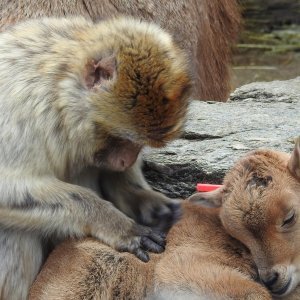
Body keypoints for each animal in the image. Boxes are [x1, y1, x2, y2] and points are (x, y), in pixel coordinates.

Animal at [0, 17, 191, 300]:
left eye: (139, 144)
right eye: (123, 139)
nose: (126, 161)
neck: (57, 93)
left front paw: (146, 202)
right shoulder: (18, 111)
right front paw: (116, 224)